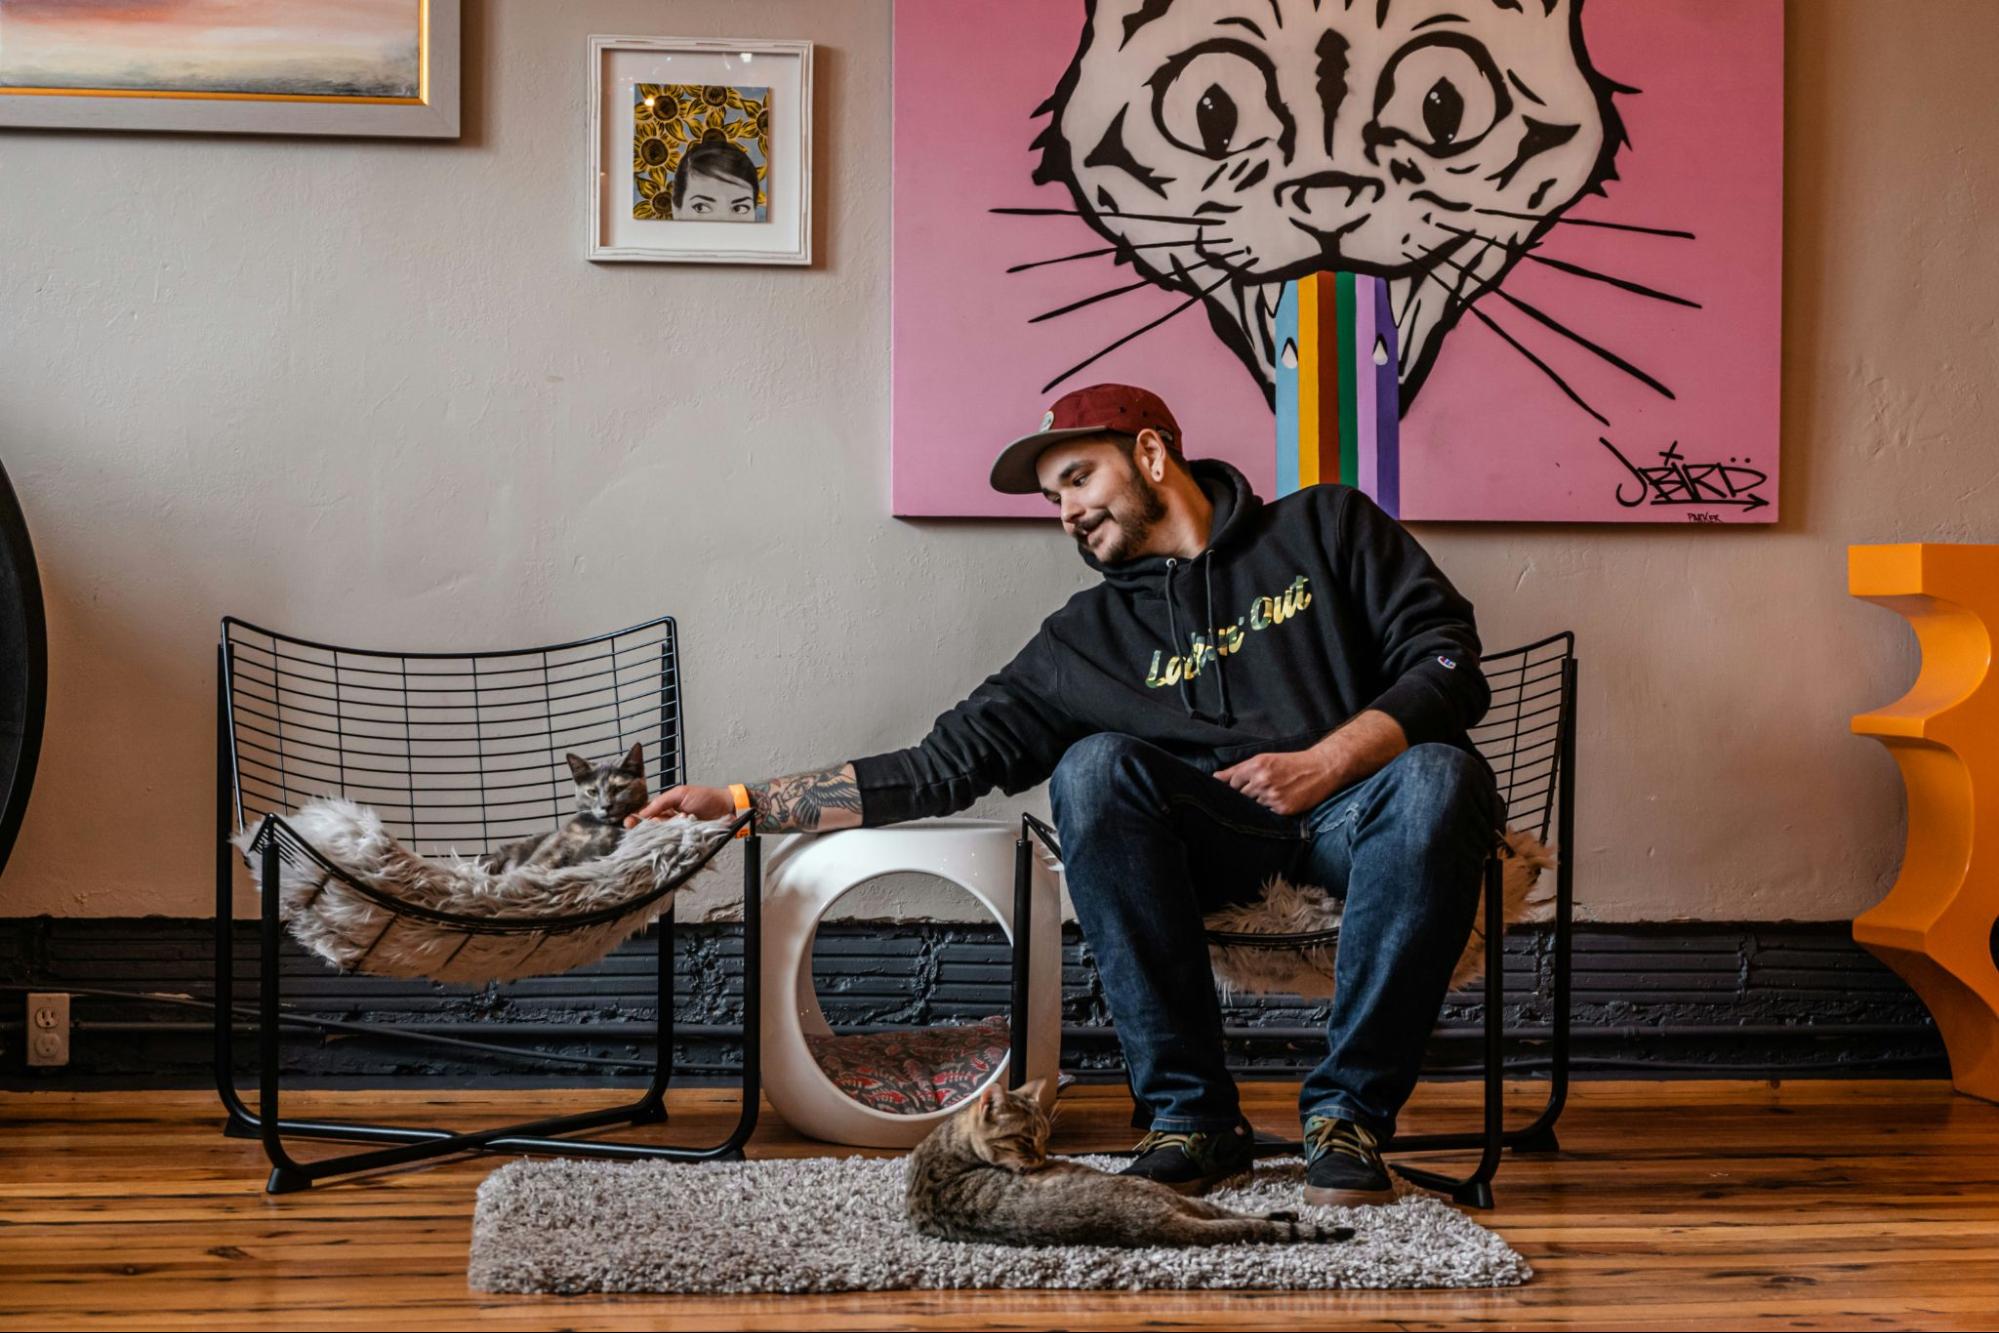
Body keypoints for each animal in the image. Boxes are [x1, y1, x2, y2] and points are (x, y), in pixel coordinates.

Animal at [477, 739, 647, 875]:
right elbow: (530, 868)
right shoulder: (553, 846)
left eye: (619, 789)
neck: (597, 828)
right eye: (592, 791)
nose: (606, 805)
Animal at [911, 1079, 1359, 1255]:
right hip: (1164, 1193)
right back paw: (1284, 1213)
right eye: (1024, 1140)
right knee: (1232, 1214)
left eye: (1046, 1138)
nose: (1040, 1159)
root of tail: (1150, 1226)